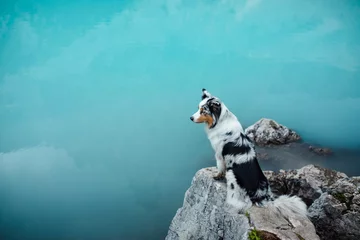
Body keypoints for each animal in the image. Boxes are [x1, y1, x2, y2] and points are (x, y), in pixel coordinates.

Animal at [188, 89, 306, 218]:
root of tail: (262, 196)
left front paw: (217, 176)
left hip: (232, 175)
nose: (191, 118)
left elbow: (220, 168)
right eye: (198, 108)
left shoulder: (219, 154)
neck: (221, 122)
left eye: (203, 111)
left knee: (242, 203)